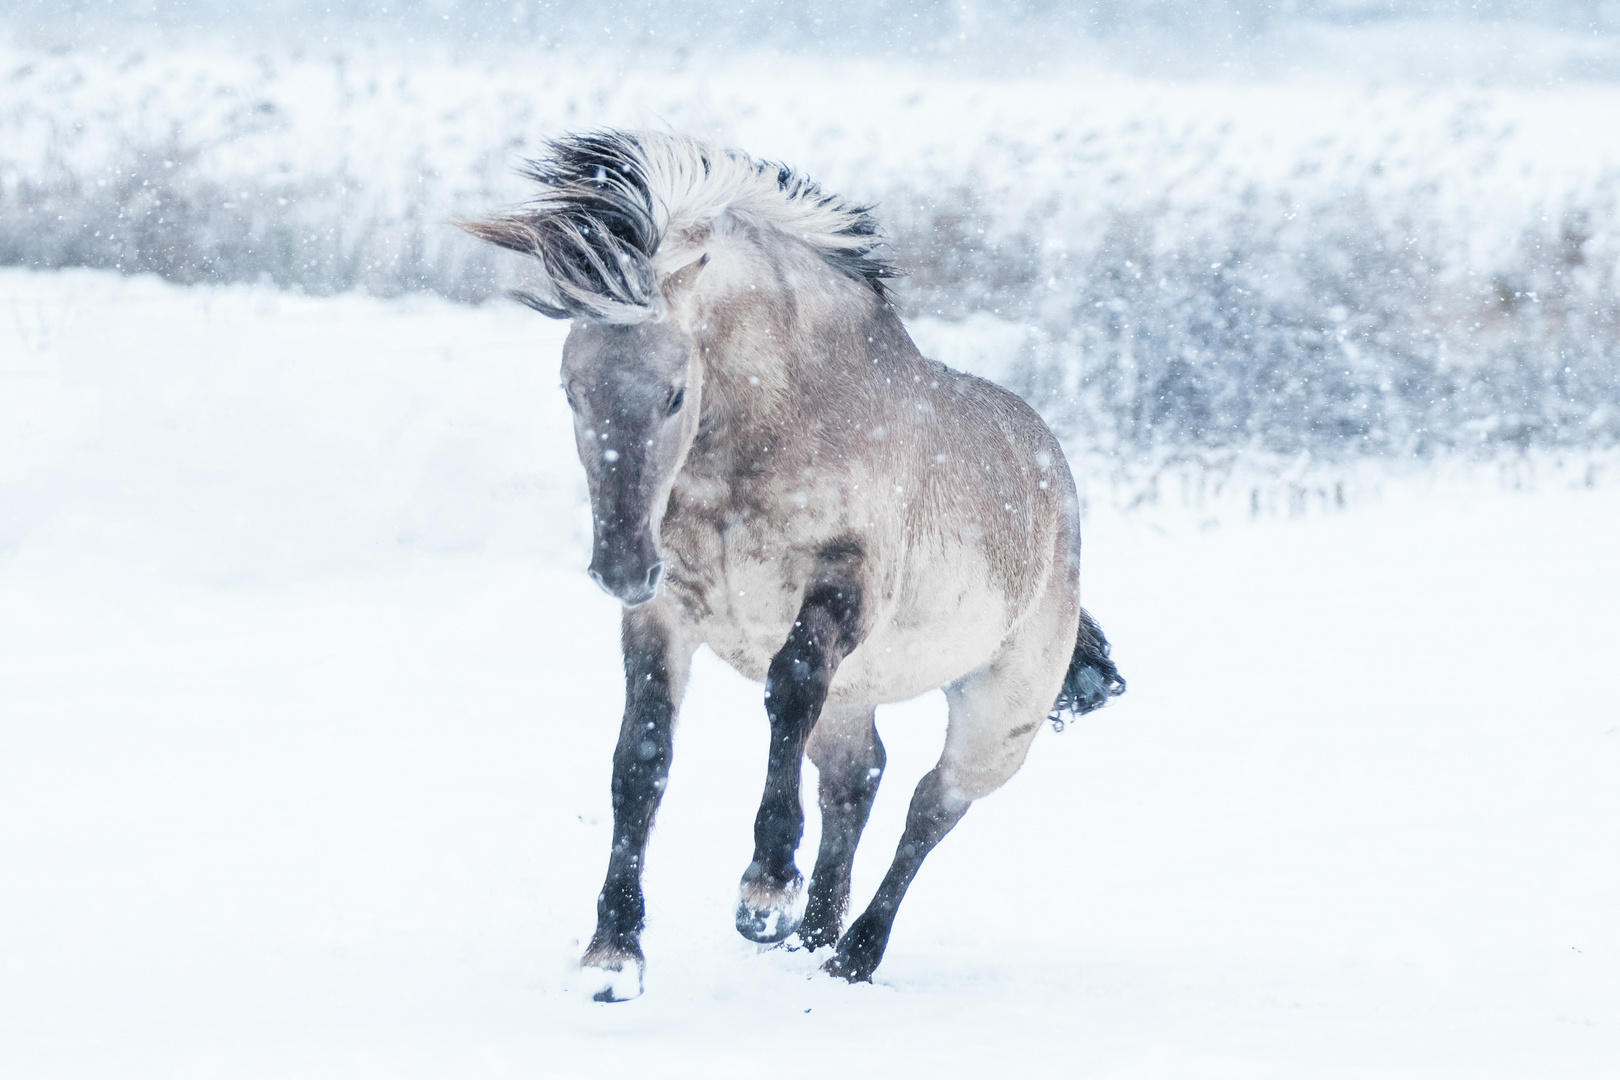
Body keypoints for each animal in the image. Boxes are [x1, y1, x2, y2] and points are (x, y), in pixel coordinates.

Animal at [463, 128, 1127, 1003]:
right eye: (571, 390)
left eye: (674, 394)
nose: (621, 568)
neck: (774, 423)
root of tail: (1058, 484)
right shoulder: (666, 614)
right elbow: (641, 761)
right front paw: (614, 953)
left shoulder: (843, 590)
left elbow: (787, 690)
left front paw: (764, 893)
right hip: (860, 693)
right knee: (859, 778)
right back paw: (814, 938)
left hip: (1000, 714)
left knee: (930, 807)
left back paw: (851, 955)